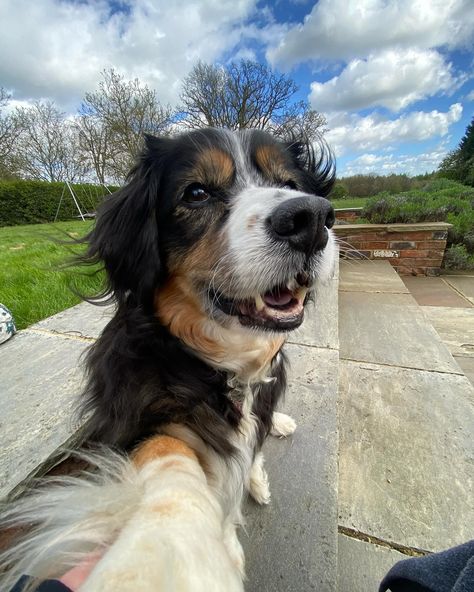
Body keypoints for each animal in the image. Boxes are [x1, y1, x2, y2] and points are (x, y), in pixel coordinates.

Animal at [0, 127, 336, 588]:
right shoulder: (142, 418)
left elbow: (247, 453)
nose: (312, 219)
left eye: (289, 184)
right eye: (196, 193)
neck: (226, 365)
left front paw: (251, 476)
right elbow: (171, 461)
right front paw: (179, 550)